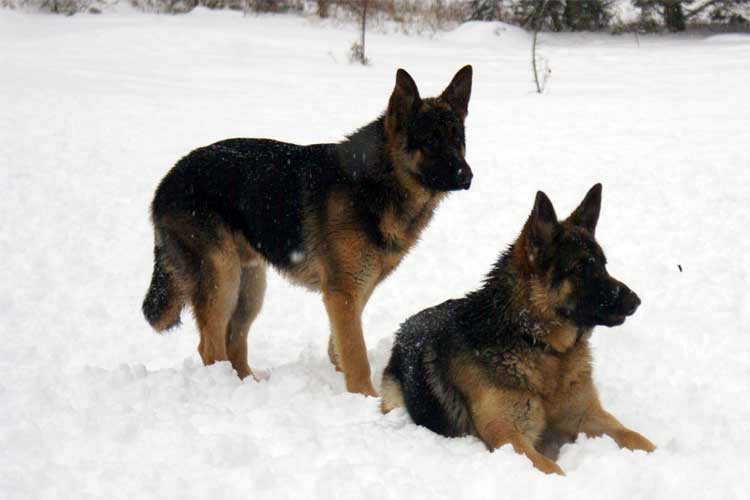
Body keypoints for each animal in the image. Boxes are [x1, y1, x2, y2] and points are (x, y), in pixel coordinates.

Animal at [143, 66, 472, 396]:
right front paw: (365, 398)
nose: (467, 176)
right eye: (430, 141)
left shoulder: (355, 290)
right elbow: (356, 354)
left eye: (458, 140)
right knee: (210, 349)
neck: (380, 181)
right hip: (223, 278)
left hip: (250, 287)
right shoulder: (343, 292)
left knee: (234, 343)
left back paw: (249, 384)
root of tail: (165, 182)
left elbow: (339, 346)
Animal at [384, 186, 656, 474]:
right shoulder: (509, 438)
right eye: (580, 268)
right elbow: (553, 469)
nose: (635, 301)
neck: (538, 344)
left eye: (603, 264)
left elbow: (634, 437)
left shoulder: (588, 416)